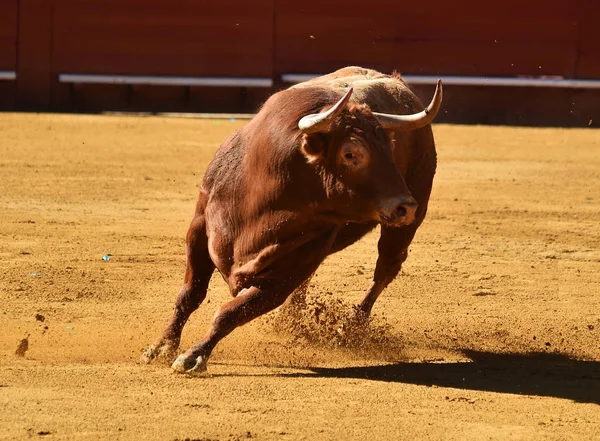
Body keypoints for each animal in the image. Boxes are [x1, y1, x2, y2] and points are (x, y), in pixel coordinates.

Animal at [141, 67, 440, 372]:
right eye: (351, 154)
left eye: (390, 149)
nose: (406, 207)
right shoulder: (199, 229)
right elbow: (190, 294)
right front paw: (161, 346)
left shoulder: (287, 272)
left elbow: (230, 312)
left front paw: (194, 355)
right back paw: (292, 320)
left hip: (405, 221)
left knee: (385, 270)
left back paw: (351, 326)